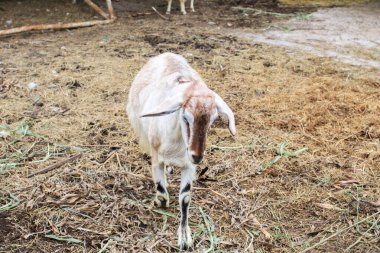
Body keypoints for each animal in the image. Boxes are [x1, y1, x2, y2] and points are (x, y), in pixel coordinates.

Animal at [126, 52, 236, 250]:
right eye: (185, 117)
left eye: (213, 120)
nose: (197, 156)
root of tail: (166, 54)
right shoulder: (156, 157)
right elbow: (161, 188)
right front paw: (160, 201)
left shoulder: (189, 166)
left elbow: (185, 197)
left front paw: (185, 238)